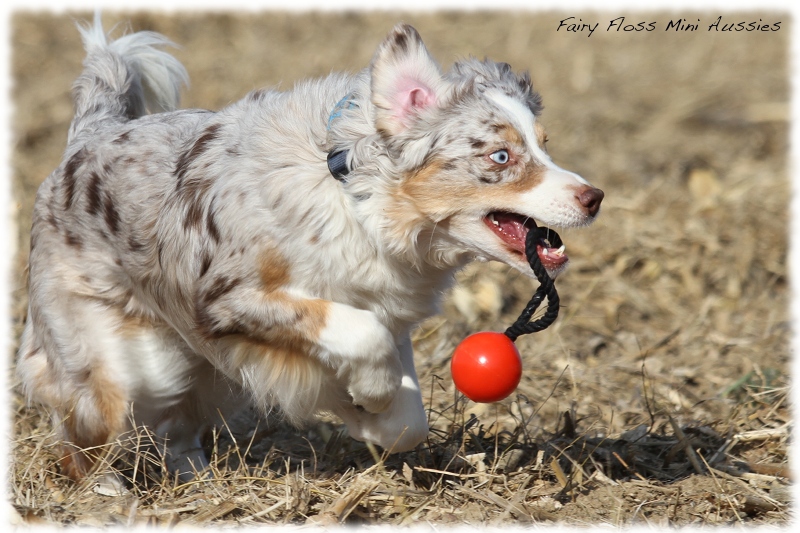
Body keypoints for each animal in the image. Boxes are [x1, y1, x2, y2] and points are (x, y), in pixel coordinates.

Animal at [15, 17, 604, 482]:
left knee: (177, 429)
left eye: (544, 146)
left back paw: (199, 482)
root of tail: (88, 135)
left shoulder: (387, 310)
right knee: (82, 424)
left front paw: (369, 415)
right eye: (501, 156)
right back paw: (104, 492)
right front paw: (371, 392)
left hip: (196, 371)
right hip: (128, 365)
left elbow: (408, 419)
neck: (355, 197)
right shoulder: (234, 301)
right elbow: (360, 336)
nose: (594, 197)